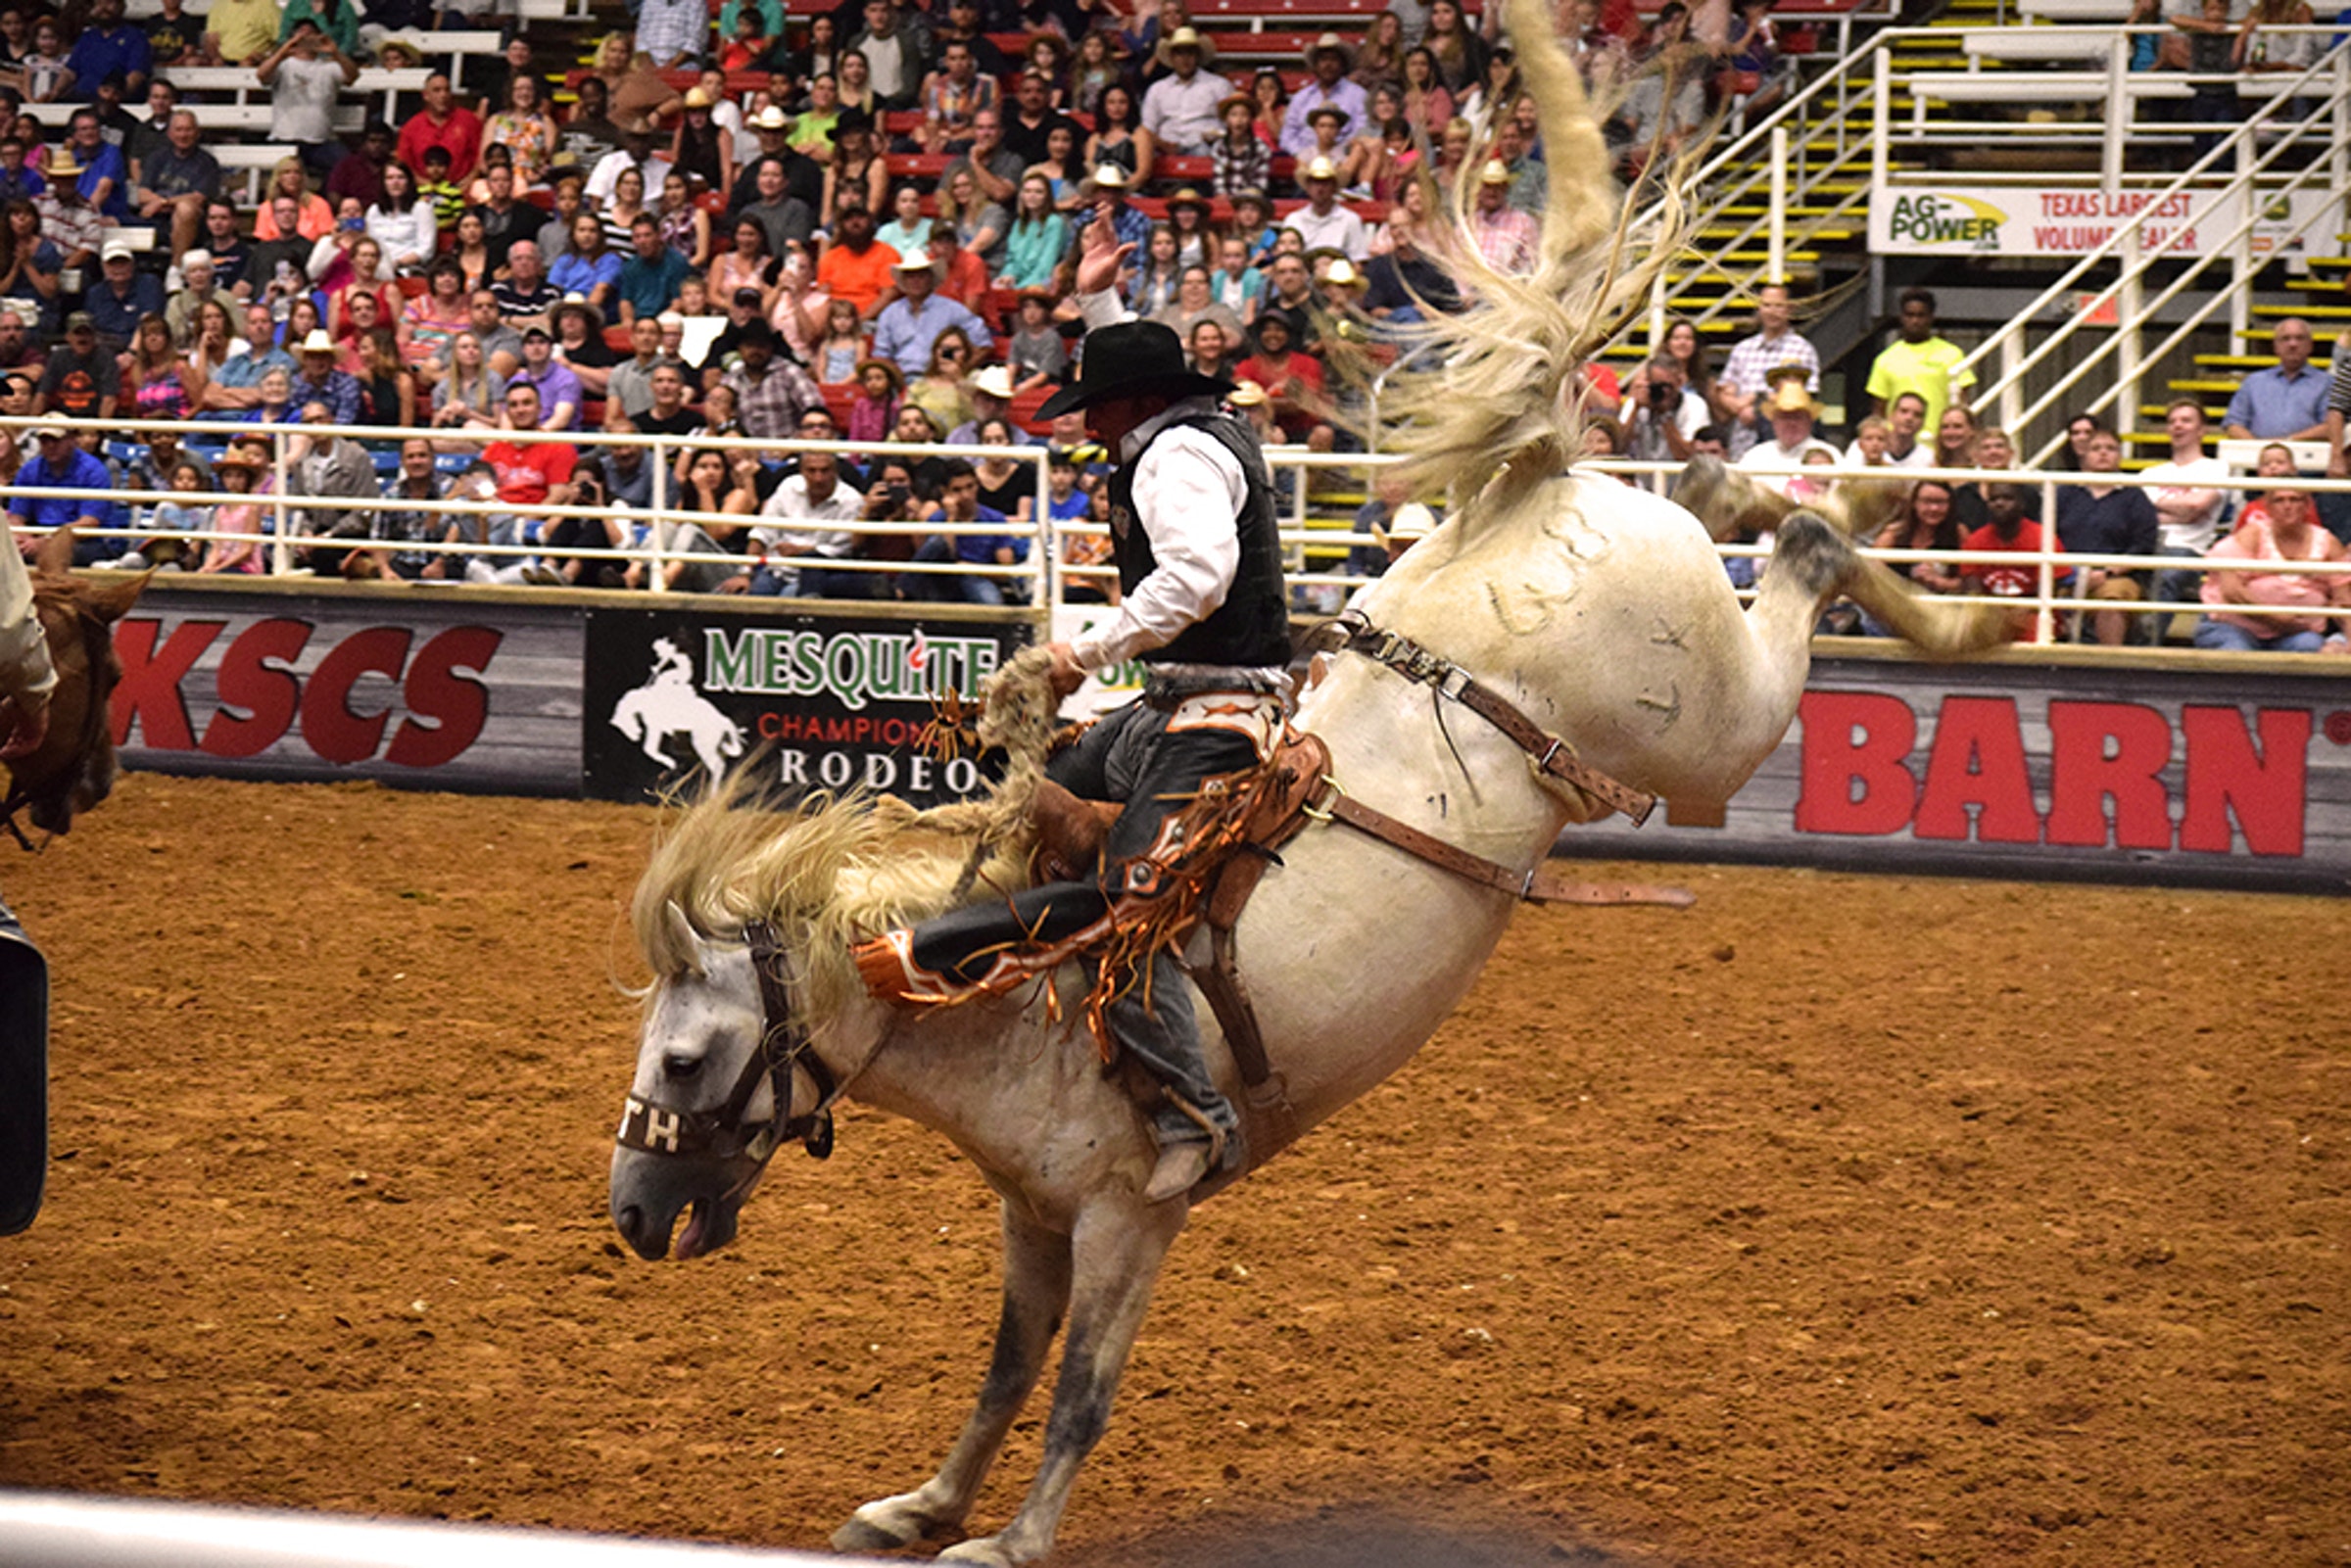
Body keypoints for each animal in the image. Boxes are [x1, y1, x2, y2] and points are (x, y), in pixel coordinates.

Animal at [601, 6, 2002, 1560]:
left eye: (682, 1056)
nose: (633, 1216)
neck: (1008, 986)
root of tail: (1532, 487)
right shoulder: (1033, 1211)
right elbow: (1006, 1365)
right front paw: (922, 1503)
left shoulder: (1130, 1214)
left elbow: (1080, 1387)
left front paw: (1013, 1535)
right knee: (1725, 498)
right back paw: (1834, 512)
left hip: (1707, 729)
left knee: (1801, 559)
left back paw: (1927, 577)